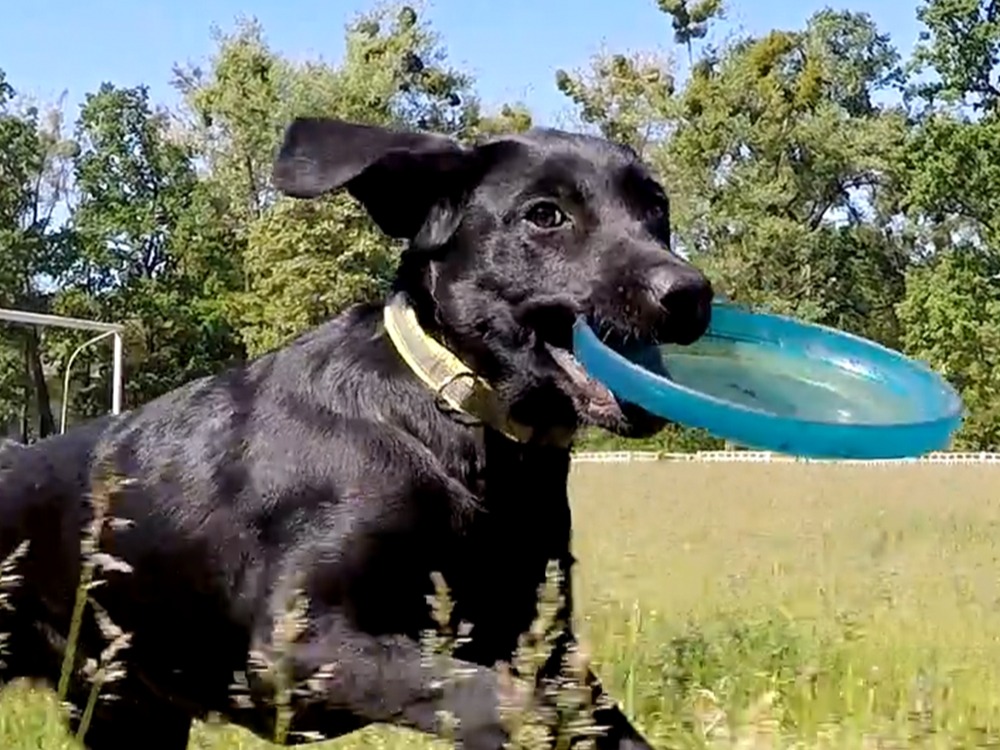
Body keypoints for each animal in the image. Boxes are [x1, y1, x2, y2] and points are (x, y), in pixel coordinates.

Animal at [1, 119, 712, 750]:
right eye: (545, 215)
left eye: (656, 209)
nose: (690, 292)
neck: (451, 428)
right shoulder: (297, 647)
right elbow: (498, 702)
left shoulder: (541, 640)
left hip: (128, 712)